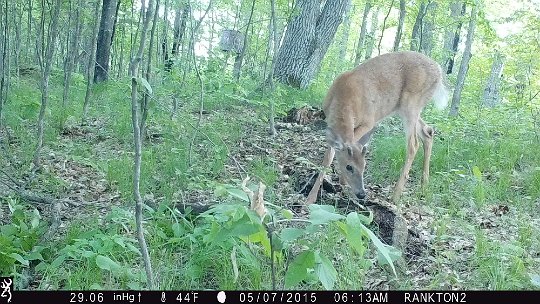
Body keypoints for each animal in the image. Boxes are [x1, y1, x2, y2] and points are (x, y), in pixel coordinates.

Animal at [306, 51, 450, 204]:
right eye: (349, 167)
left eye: (364, 166)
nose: (361, 194)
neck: (343, 98)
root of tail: (439, 70)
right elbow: (328, 158)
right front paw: (311, 197)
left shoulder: (369, 121)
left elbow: (346, 145)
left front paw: (341, 181)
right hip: (405, 108)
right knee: (428, 131)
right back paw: (424, 186)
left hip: (411, 103)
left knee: (413, 144)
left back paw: (396, 195)